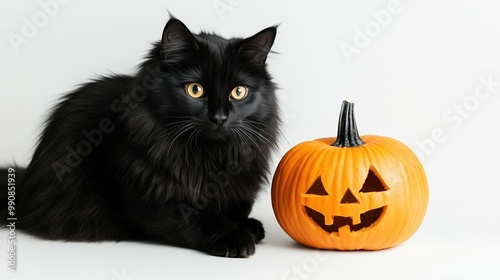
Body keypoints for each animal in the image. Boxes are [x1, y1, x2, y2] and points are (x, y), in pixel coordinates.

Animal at [0, 18, 280, 258]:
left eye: (238, 92)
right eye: (195, 90)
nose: (219, 117)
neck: (208, 155)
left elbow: (237, 208)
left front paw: (249, 226)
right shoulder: (147, 200)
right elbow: (199, 216)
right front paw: (237, 237)